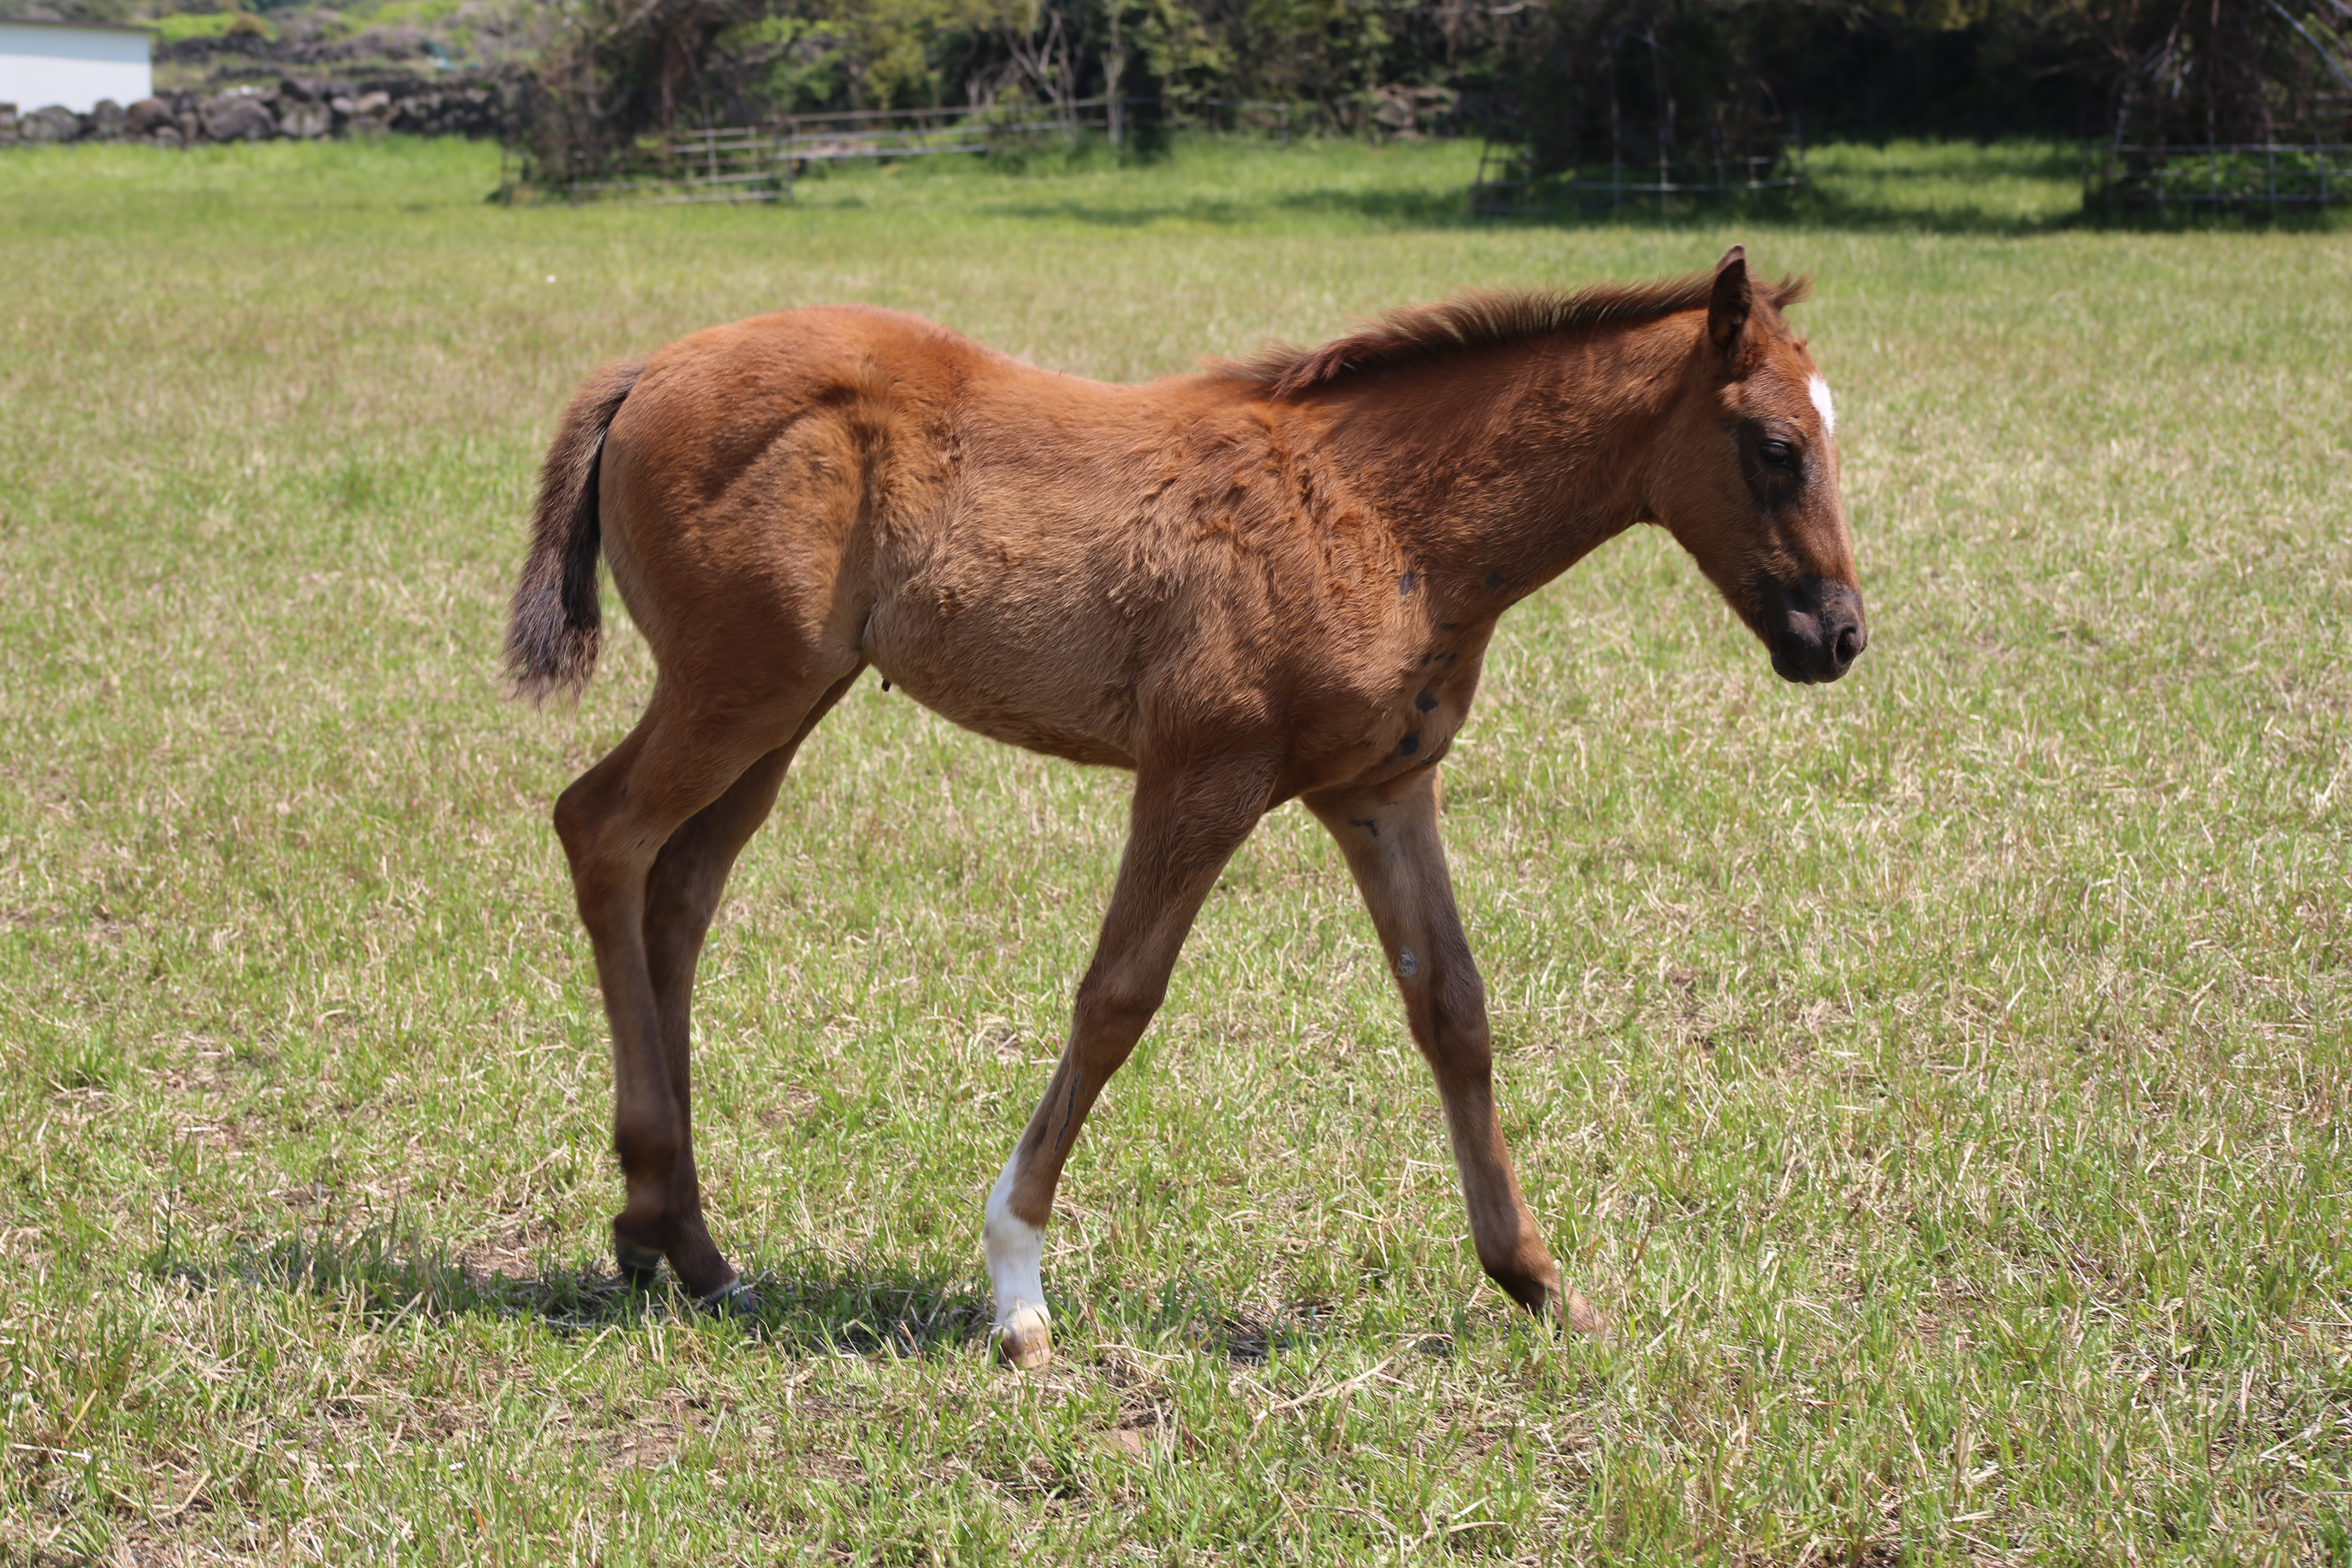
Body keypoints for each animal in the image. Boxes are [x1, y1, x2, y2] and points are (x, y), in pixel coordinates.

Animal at [506, 245, 1862, 1373]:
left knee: (680, 891)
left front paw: (1534, 1279)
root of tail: (646, 369)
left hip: (785, 704)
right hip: (737, 687)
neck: (1380, 510)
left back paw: (687, 1243)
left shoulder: (1380, 791)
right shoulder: (1203, 773)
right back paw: (651, 1210)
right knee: (603, 829)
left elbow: (1454, 1011)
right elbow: (1117, 1000)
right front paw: (1017, 1286)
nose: (1838, 636)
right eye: (1776, 447)